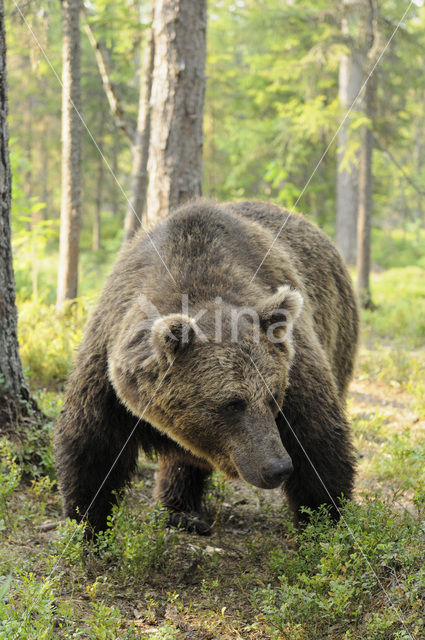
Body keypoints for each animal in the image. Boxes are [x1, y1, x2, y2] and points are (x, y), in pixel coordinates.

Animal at [53, 200, 358, 536]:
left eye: (273, 396)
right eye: (232, 403)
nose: (277, 467)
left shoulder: (296, 366)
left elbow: (318, 441)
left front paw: (324, 523)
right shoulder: (108, 365)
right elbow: (92, 444)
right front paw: (86, 524)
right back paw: (181, 510)